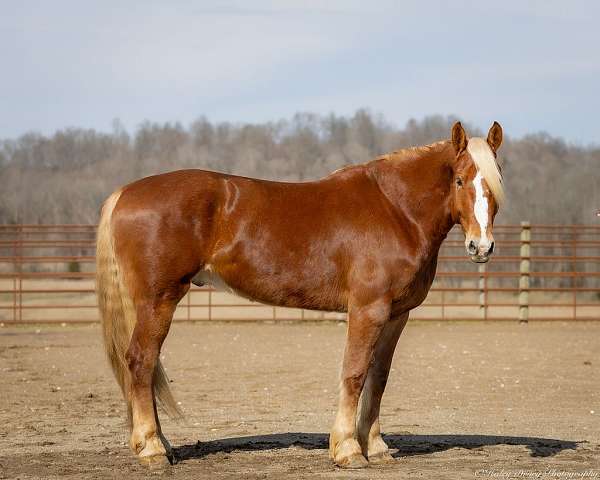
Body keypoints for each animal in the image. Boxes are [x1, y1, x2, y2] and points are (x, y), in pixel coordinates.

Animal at [96, 120, 504, 468]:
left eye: (495, 181)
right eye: (459, 180)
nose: (481, 247)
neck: (395, 208)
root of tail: (125, 193)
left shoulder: (395, 315)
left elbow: (378, 378)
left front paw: (376, 447)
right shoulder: (367, 310)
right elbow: (354, 373)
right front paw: (348, 450)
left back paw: (161, 446)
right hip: (158, 301)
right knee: (141, 362)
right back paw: (151, 450)